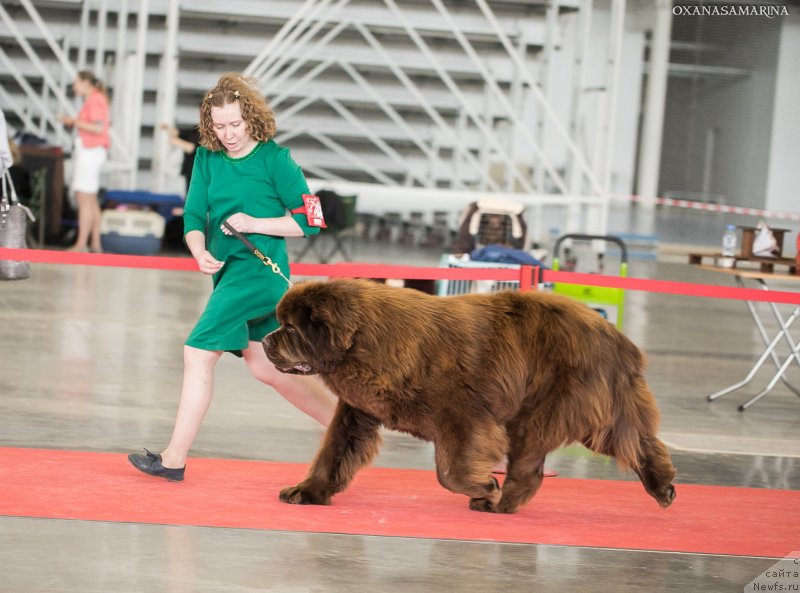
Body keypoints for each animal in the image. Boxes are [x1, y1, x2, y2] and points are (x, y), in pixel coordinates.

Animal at [264, 278, 676, 512]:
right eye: (280, 325)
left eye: (291, 329)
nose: (266, 341)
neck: (367, 342)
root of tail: (615, 336)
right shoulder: (356, 410)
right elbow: (333, 451)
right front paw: (308, 491)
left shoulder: (462, 416)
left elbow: (449, 472)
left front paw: (484, 486)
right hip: (598, 412)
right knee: (639, 443)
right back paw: (663, 488)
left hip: (543, 412)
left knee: (529, 465)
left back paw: (499, 503)